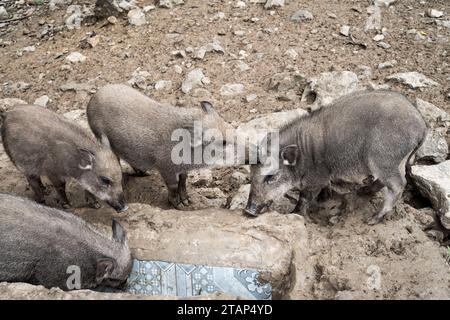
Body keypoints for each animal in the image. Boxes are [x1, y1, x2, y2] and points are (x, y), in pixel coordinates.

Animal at [86, 84, 244, 209]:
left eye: (230, 127)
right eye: (223, 142)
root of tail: (92, 100)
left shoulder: (182, 169)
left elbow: (183, 180)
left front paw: (187, 201)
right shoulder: (165, 168)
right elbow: (173, 185)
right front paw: (179, 205)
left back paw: (143, 173)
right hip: (100, 136)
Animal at [244, 90, 428, 225]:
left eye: (271, 177)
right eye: (251, 174)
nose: (248, 210)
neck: (303, 153)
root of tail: (422, 127)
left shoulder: (315, 179)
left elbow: (304, 198)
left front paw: (298, 215)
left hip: (383, 160)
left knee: (399, 184)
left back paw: (372, 219)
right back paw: (363, 191)